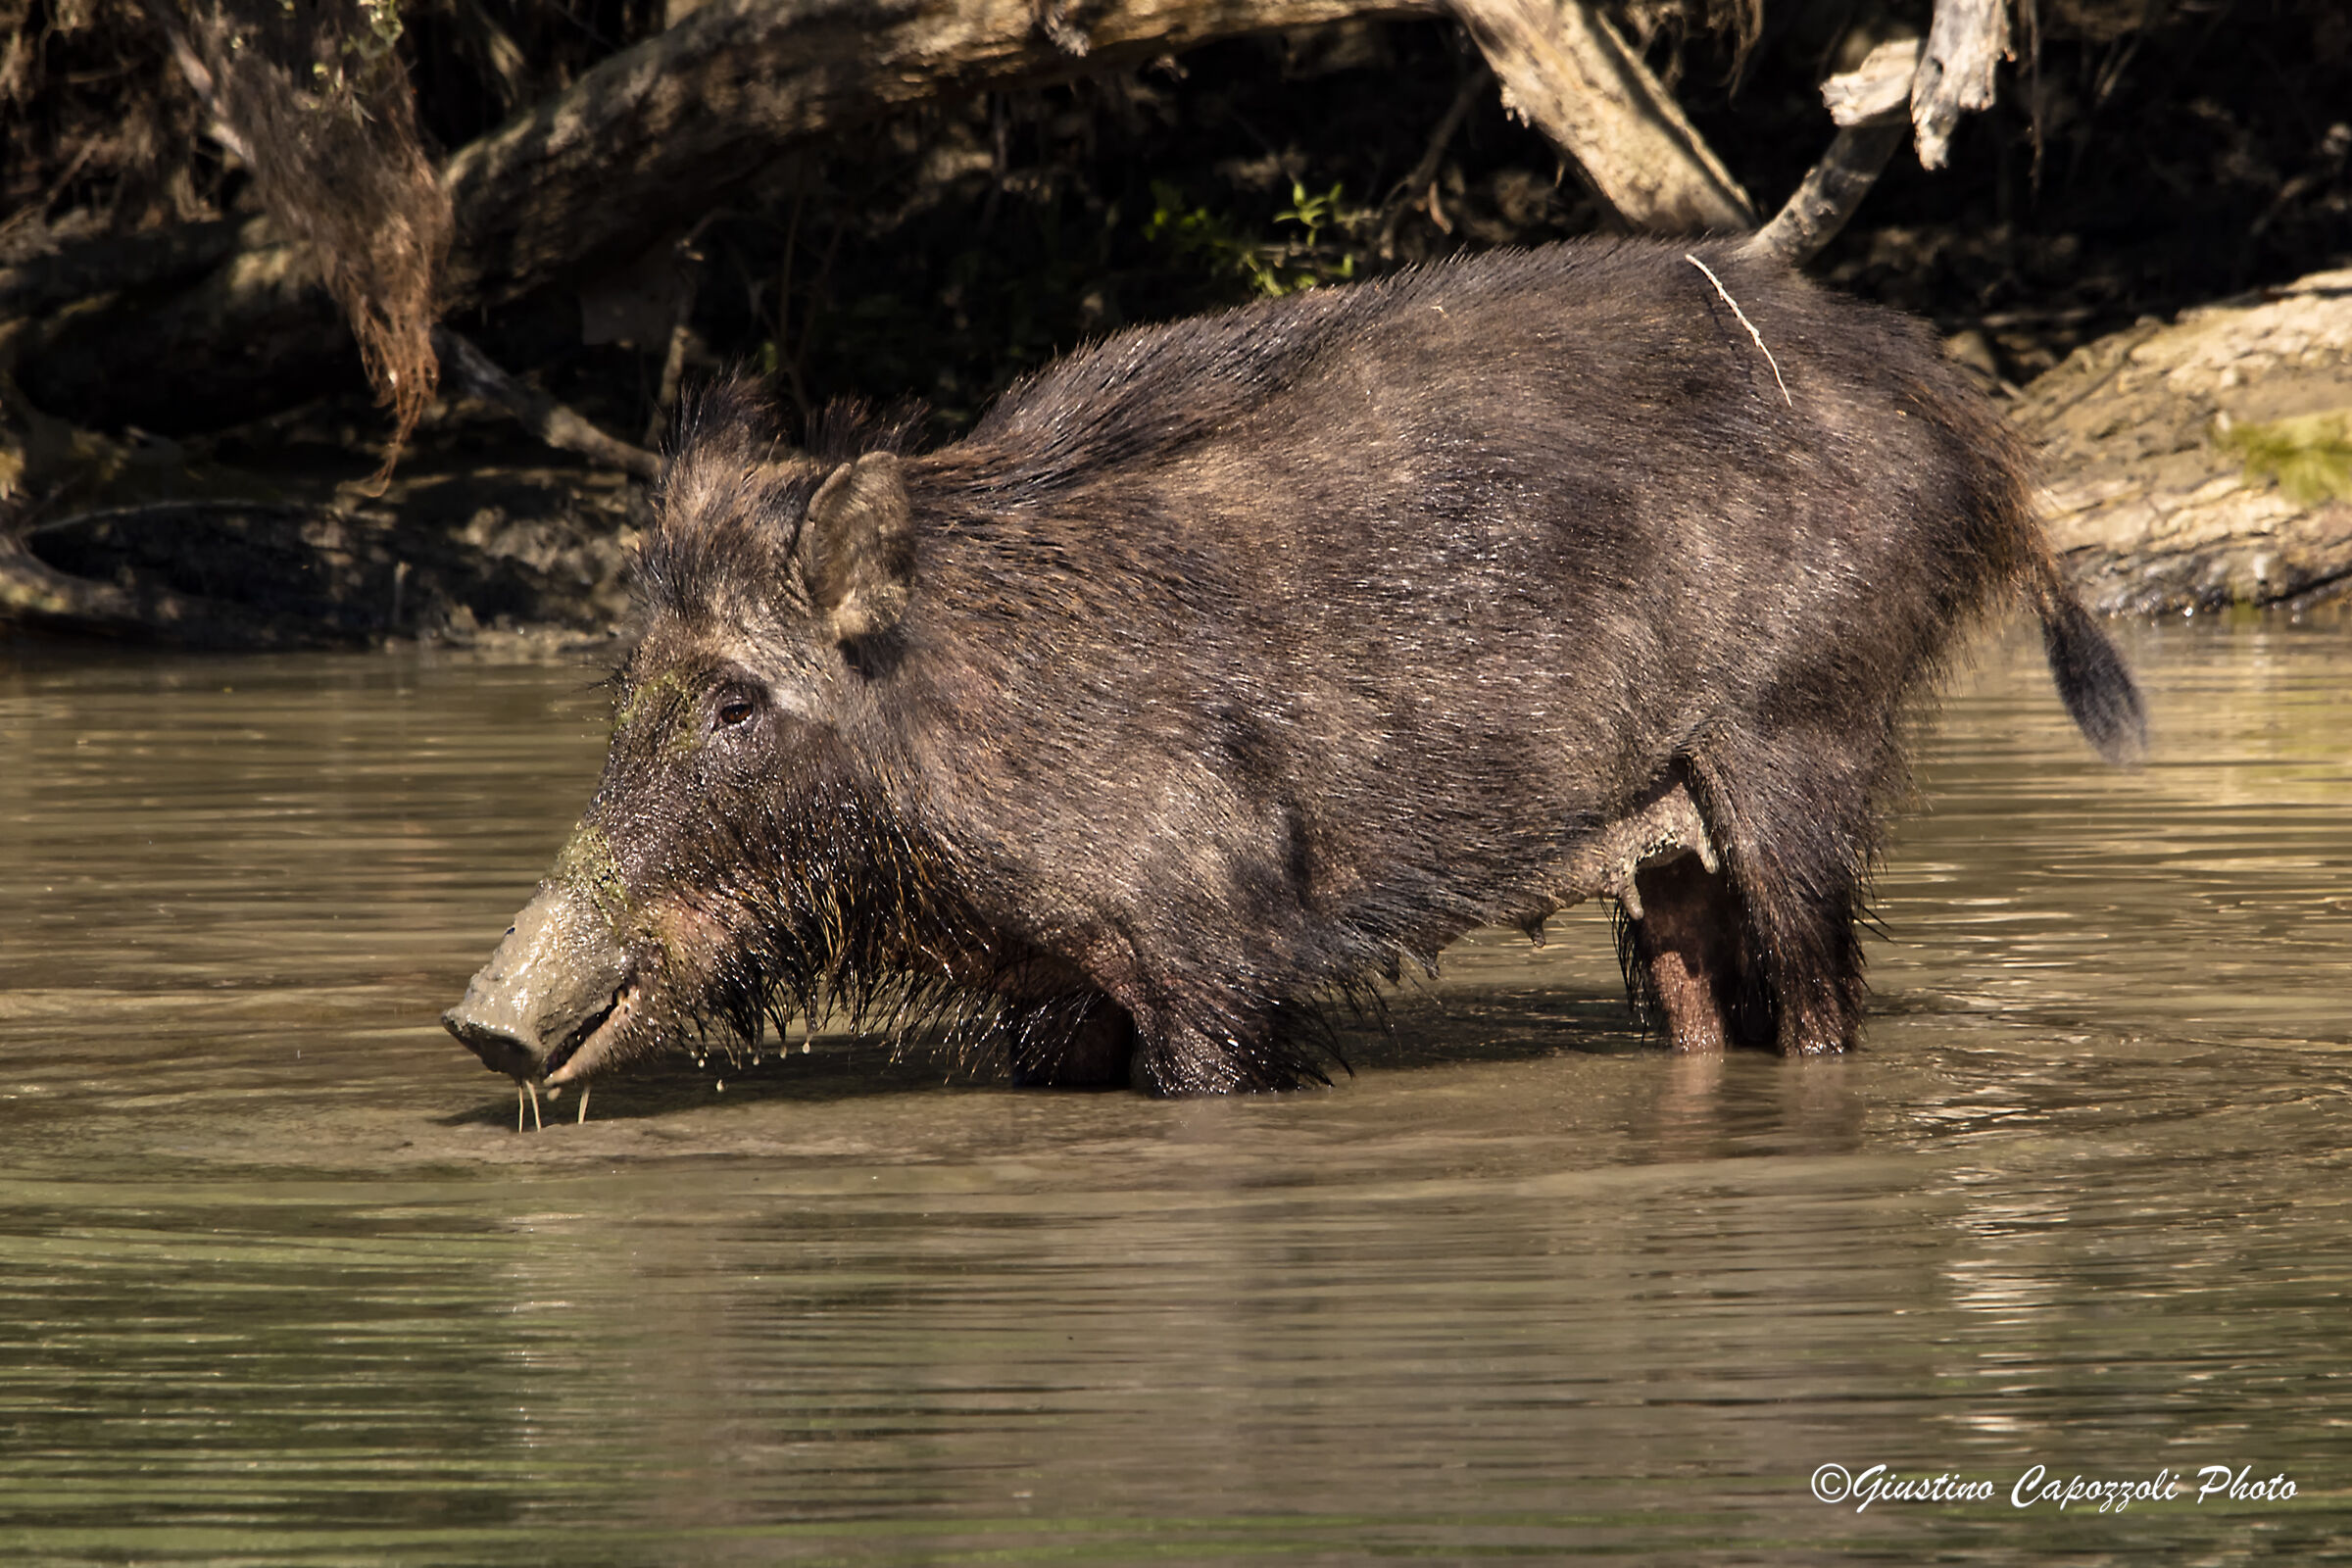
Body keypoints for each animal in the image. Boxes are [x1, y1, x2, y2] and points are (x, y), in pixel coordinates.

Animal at [443, 238, 2145, 1099]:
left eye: (739, 700)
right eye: (628, 693)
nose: (482, 1018)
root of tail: (1975, 419)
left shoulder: (1211, 940)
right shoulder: (1054, 987)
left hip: (1799, 733)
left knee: (1822, 996)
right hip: (1664, 831)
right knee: (1697, 997)